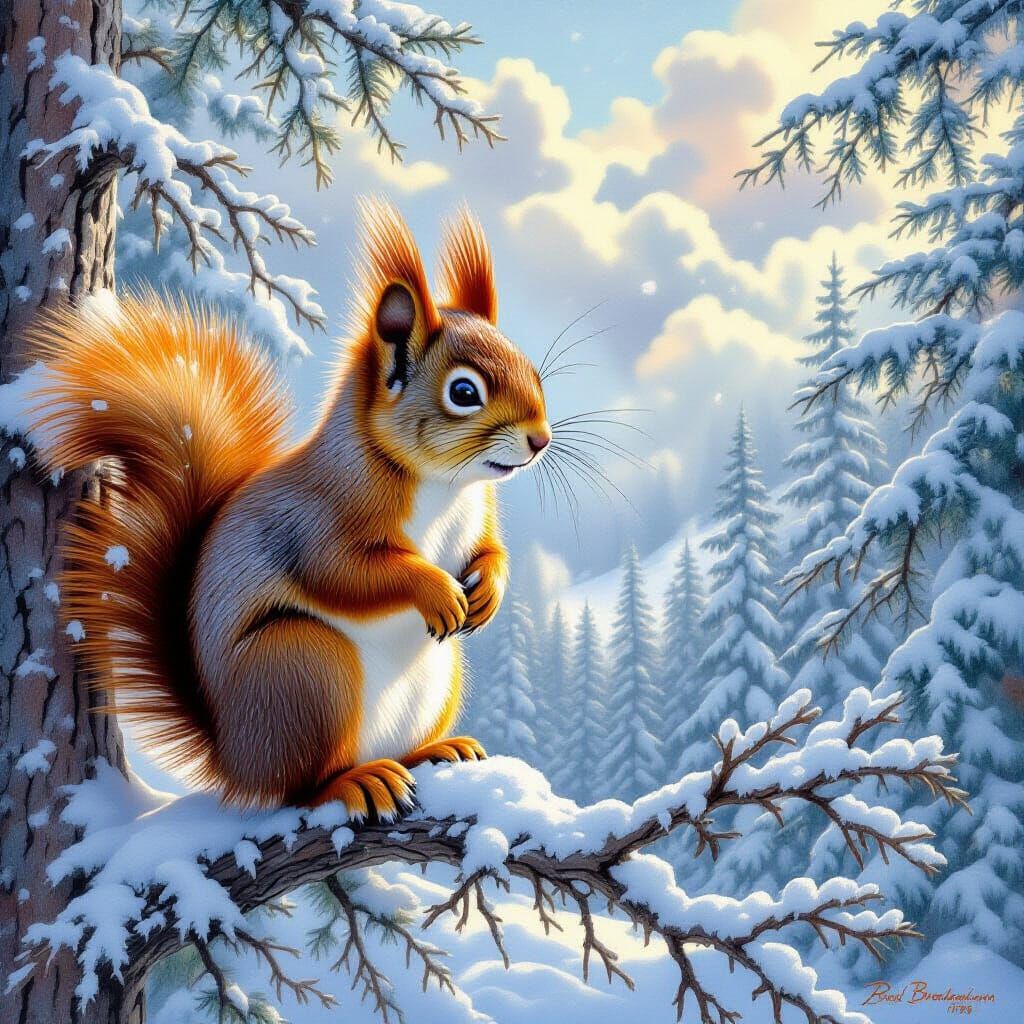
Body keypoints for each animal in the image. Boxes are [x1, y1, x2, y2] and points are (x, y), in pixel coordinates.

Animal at [25, 199, 551, 819]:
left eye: (532, 371)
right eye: (464, 392)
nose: (540, 440)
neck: (445, 485)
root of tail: (233, 759)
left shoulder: (478, 517)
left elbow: (489, 550)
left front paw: (489, 587)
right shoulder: (317, 518)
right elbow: (345, 572)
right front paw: (434, 589)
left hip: (436, 680)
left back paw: (434, 751)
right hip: (302, 668)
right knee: (298, 787)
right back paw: (357, 781)